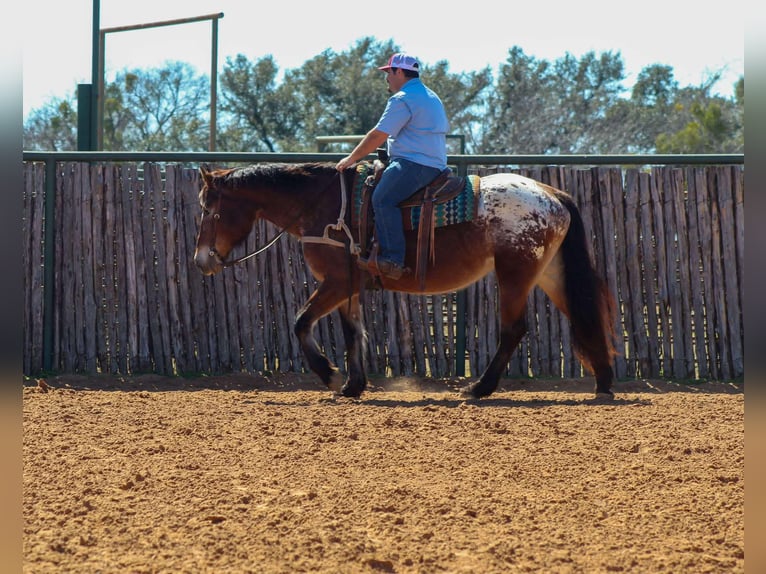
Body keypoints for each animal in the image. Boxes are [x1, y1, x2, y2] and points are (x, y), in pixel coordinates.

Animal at [195, 162, 620, 400]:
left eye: (210, 210)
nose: (202, 261)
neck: (324, 207)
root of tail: (551, 193)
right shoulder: (349, 287)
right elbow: (353, 333)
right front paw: (353, 385)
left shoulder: (335, 282)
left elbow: (300, 322)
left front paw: (329, 376)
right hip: (549, 273)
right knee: (583, 317)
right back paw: (603, 382)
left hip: (514, 274)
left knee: (513, 329)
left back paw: (479, 389)